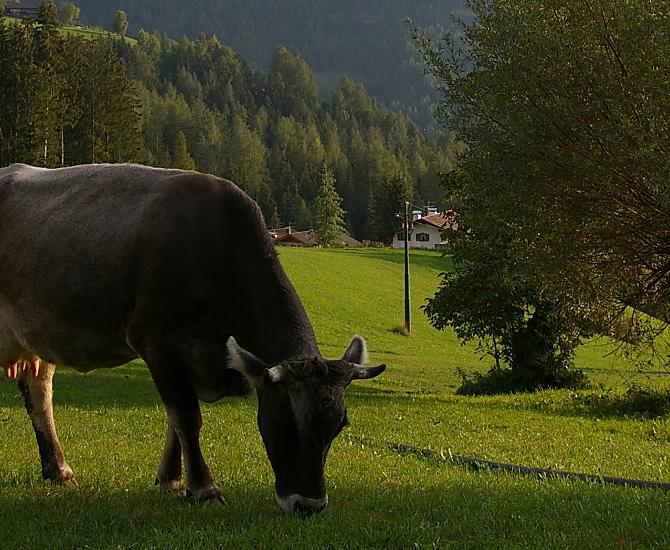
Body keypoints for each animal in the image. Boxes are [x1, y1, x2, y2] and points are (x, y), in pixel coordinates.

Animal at [0, 163, 385, 515]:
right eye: (286, 420)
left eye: (339, 426)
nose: (310, 505)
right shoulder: (156, 343)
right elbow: (186, 417)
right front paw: (203, 489)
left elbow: (175, 421)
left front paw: (171, 480)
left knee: (40, 395)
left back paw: (58, 470)